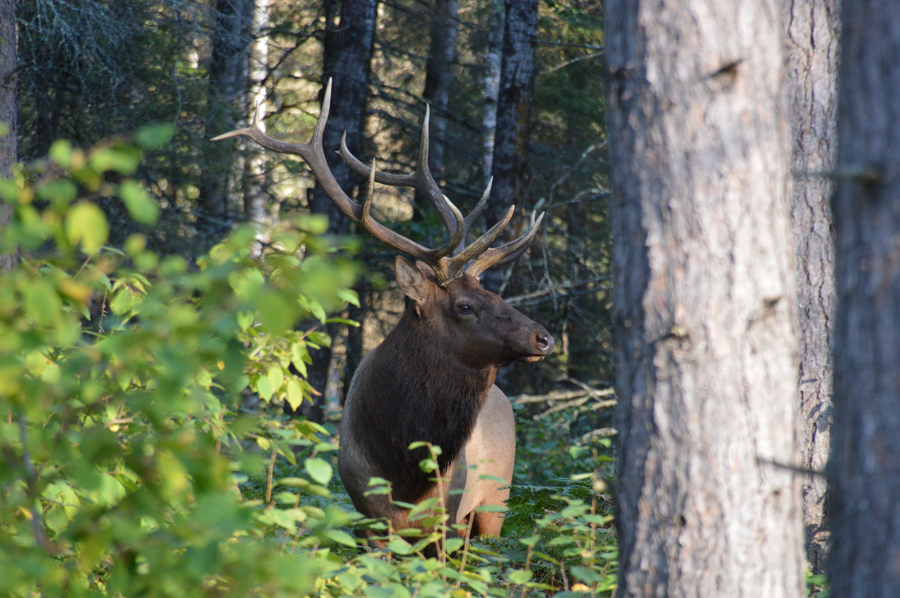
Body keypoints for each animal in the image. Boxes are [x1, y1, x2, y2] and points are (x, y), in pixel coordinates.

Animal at [214, 81, 552, 548]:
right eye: (466, 305)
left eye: (493, 293)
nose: (543, 337)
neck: (402, 465)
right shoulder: (368, 515)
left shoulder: (447, 520)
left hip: (494, 504)